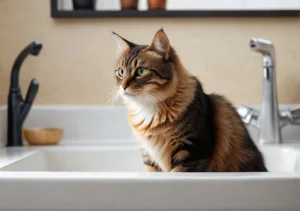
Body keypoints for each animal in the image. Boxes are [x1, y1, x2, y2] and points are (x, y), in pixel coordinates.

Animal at [112, 28, 268, 172]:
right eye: (121, 72)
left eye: (141, 71)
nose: (123, 86)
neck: (149, 109)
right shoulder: (149, 156)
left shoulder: (190, 151)